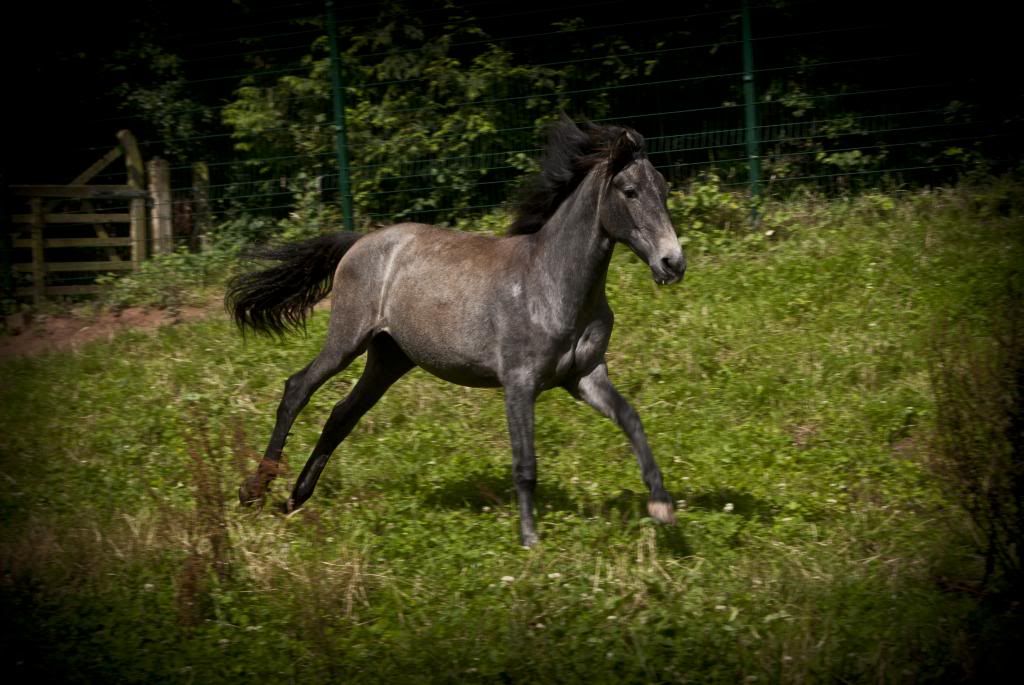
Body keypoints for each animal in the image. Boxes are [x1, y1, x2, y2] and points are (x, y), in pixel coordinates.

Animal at [226, 116, 688, 544]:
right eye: (629, 191)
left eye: (664, 190)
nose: (673, 263)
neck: (552, 283)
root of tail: (360, 241)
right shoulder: (519, 383)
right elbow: (525, 464)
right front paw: (530, 540)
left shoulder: (585, 377)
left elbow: (631, 419)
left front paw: (661, 506)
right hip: (347, 339)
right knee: (297, 389)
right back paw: (255, 491)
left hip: (390, 358)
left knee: (342, 415)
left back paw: (295, 497)